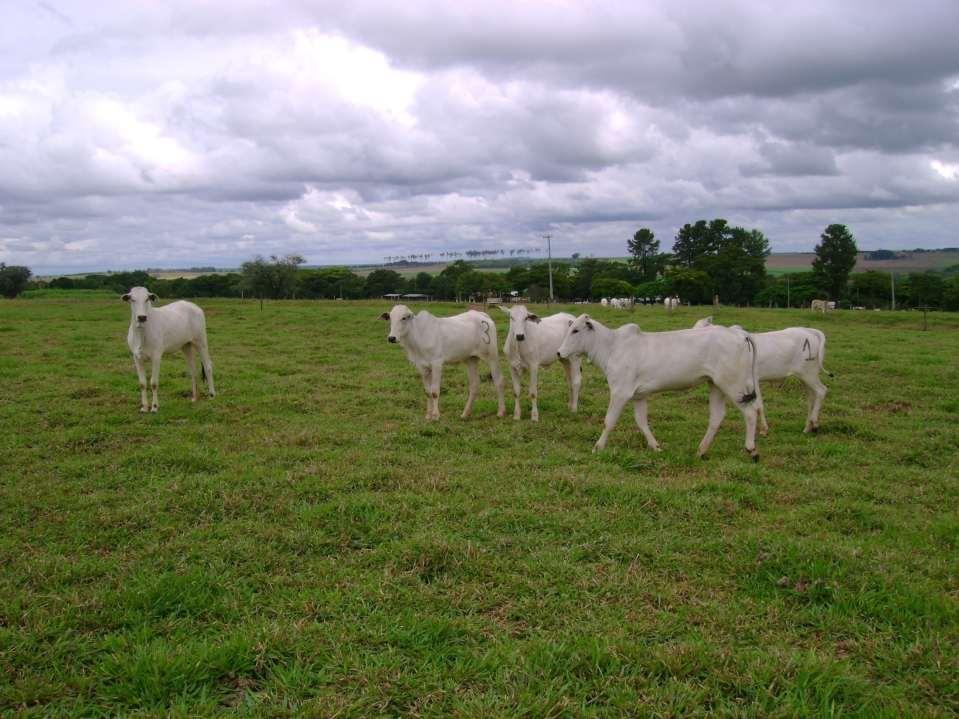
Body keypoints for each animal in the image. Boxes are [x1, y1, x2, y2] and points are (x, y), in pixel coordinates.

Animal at [560, 316, 760, 462]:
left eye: (576, 330)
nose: (559, 352)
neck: (612, 347)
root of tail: (739, 333)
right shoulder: (639, 396)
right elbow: (641, 422)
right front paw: (655, 446)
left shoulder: (620, 392)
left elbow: (609, 421)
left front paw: (598, 447)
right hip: (716, 385)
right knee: (717, 417)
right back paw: (701, 451)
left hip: (734, 385)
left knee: (750, 413)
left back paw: (751, 449)